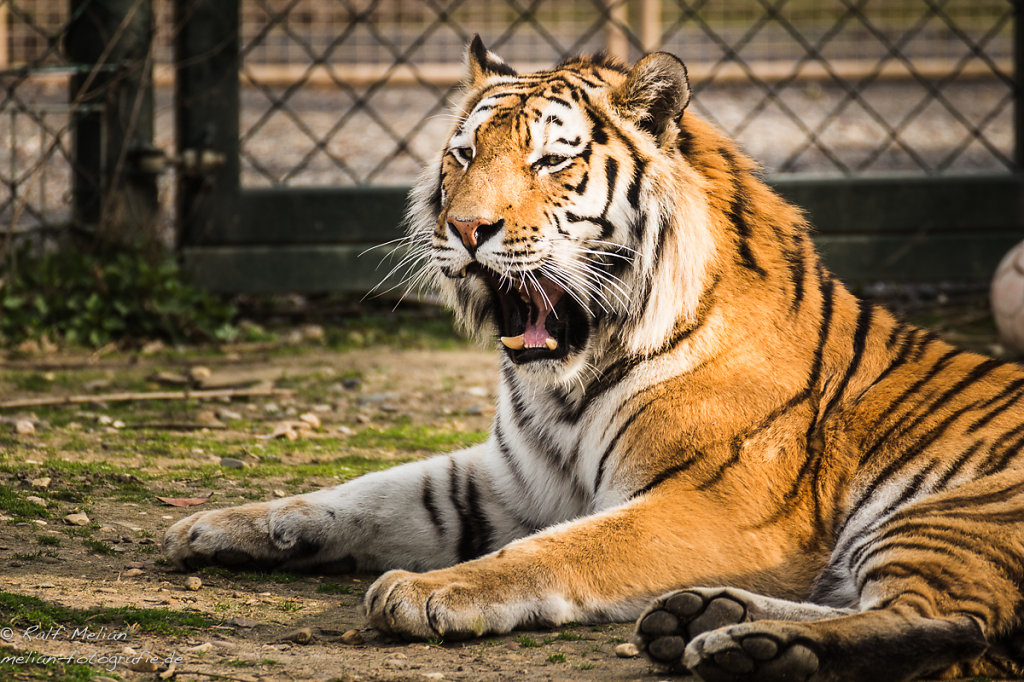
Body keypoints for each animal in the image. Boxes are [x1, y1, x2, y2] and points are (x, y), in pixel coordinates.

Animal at [161, 38, 1024, 679]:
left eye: (550, 162)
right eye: (462, 155)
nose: (465, 228)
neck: (569, 379)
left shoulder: (715, 505)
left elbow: (557, 550)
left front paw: (426, 591)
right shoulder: (509, 480)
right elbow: (360, 494)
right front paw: (215, 526)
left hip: (948, 511)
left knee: (953, 626)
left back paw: (758, 647)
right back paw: (707, 618)